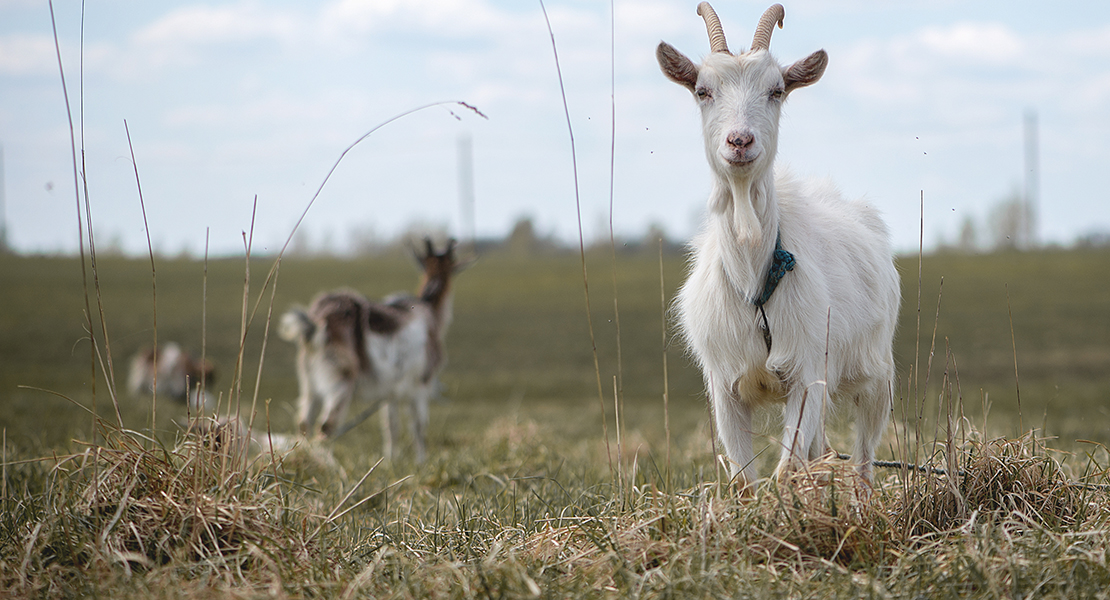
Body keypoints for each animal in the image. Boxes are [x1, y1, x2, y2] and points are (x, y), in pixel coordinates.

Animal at [281, 236, 468, 461]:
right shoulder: (421, 383)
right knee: (327, 425)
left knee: (304, 422)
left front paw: (391, 460)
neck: (430, 311)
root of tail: (315, 324)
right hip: (340, 380)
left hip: (308, 380)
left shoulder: (389, 392)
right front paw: (421, 461)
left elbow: (391, 426)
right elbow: (419, 426)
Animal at [657, 2, 901, 487]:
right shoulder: (725, 388)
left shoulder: (806, 375)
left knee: (864, 463)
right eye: (702, 90)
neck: (755, 275)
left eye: (776, 90)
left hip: (875, 376)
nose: (740, 141)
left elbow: (787, 467)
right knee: (821, 451)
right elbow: (746, 480)